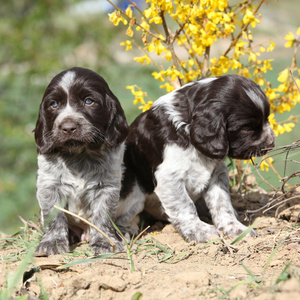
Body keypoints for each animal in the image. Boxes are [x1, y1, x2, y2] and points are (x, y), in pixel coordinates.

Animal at [34, 67, 128, 254]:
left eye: (88, 101)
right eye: (53, 104)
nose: (68, 128)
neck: (79, 154)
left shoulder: (107, 187)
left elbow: (102, 215)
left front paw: (105, 242)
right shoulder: (49, 184)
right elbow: (53, 215)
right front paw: (53, 242)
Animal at [116, 75, 274, 244]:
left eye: (267, 118)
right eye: (246, 128)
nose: (271, 143)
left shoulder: (217, 173)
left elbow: (221, 202)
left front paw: (236, 228)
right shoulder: (169, 177)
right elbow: (184, 205)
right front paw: (199, 231)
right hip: (133, 191)